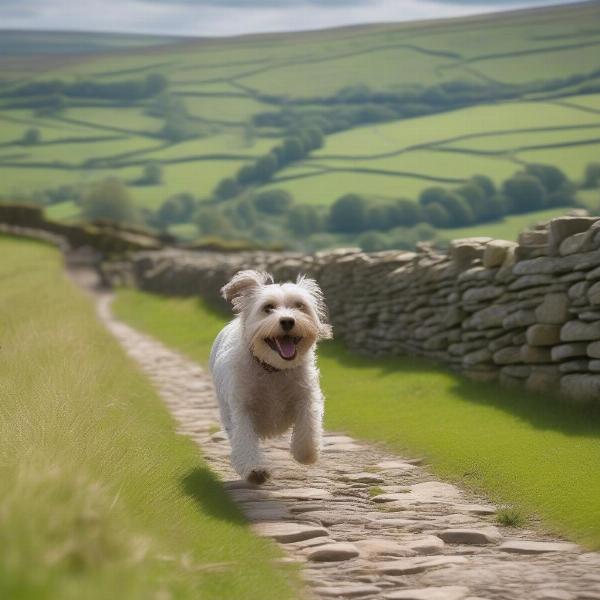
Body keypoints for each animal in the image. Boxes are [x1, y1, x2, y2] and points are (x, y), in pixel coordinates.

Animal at [209, 270, 332, 486]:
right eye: (268, 307)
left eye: (299, 305)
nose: (288, 321)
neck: (273, 369)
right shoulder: (242, 407)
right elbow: (245, 437)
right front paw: (255, 470)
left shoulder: (306, 395)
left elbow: (308, 424)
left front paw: (306, 452)